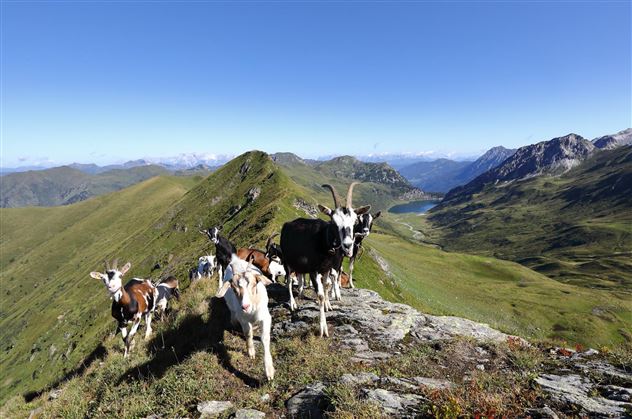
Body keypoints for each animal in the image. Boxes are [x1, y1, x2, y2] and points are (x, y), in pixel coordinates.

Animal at [282, 184, 370, 338]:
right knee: (289, 281)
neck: (323, 239)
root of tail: (286, 225)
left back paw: (300, 292)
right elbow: (321, 295)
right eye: (333, 222)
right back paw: (292, 303)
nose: (347, 245)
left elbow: (327, 285)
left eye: (354, 222)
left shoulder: (327, 269)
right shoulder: (313, 270)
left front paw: (329, 305)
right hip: (287, 263)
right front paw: (323, 328)